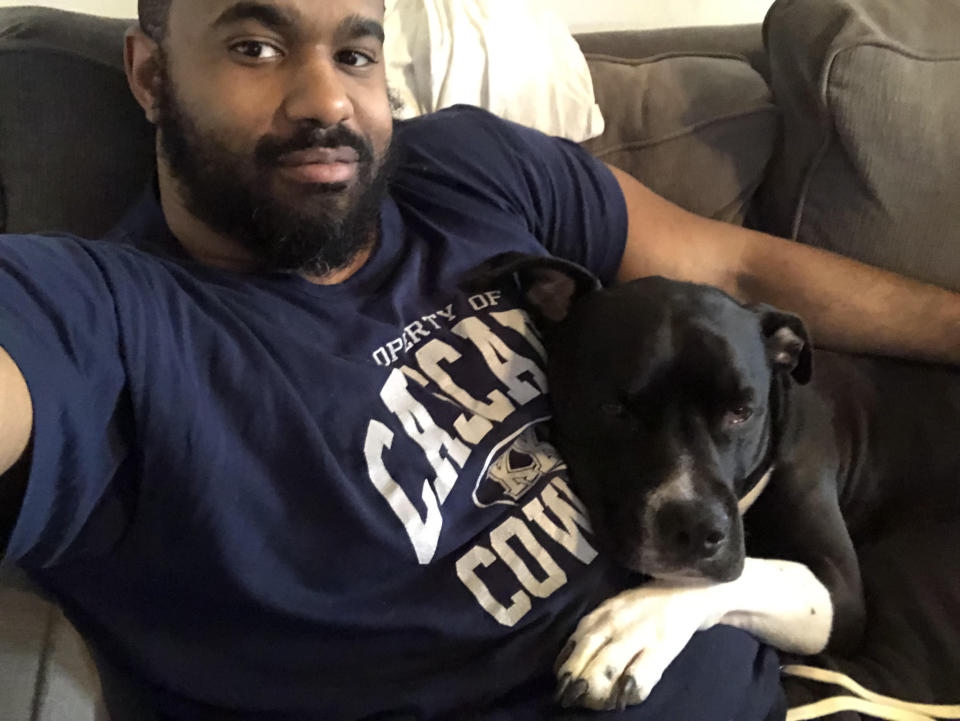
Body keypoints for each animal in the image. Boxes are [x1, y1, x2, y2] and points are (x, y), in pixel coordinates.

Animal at [468, 253, 960, 708]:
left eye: (742, 411)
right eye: (615, 409)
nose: (697, 529)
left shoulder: (840, 592)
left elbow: (743, 574)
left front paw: (631, 629)